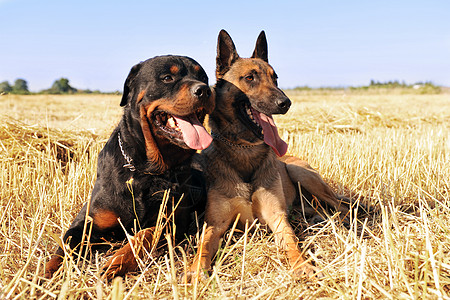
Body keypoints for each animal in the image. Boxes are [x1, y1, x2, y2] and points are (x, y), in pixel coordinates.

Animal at [44, 54, 215, 278]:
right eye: (167, 78)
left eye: (203, 77)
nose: (204, 89)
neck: (148, 170)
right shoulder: (87, 221)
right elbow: (65, 246)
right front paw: (46, 273)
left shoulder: (173, 223)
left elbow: (145, 234)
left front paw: (117, 262)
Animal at [188, 29, 350, 280]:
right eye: (250, 78)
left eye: (275, 78)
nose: (286, 102)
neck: (245, 150)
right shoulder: (215, 224)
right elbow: (203, 246)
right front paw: (196, 270)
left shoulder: (277, 218)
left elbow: (292, 243)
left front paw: (301, 264)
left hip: (301, 174)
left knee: (342, 207)